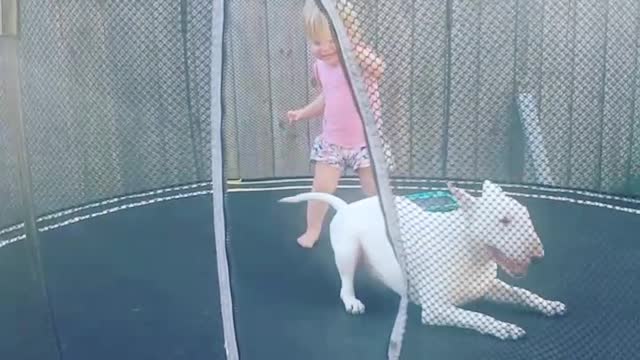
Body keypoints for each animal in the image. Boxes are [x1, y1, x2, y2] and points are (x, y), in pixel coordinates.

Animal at [280, 180, 564, 340]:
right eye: (504, 221)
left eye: (526, 214)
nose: (539, 257)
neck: (470, 253)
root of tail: (346, 206)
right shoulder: (436, 310)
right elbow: (478, 317)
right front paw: (504, 328)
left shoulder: (488, 286)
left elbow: (522, 293)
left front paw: (548, 304)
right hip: (348, 251)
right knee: (346, 283)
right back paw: (352, 300)